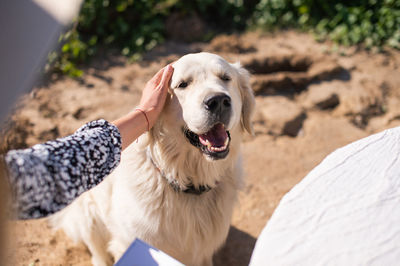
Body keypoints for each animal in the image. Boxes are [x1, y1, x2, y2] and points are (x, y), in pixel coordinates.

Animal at [50, 52, 253, 266]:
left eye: (225, 78)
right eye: (183, 84)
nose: (218, 100)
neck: (187, 182)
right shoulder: (128, 242)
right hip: (88, 213)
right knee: (97, 251)